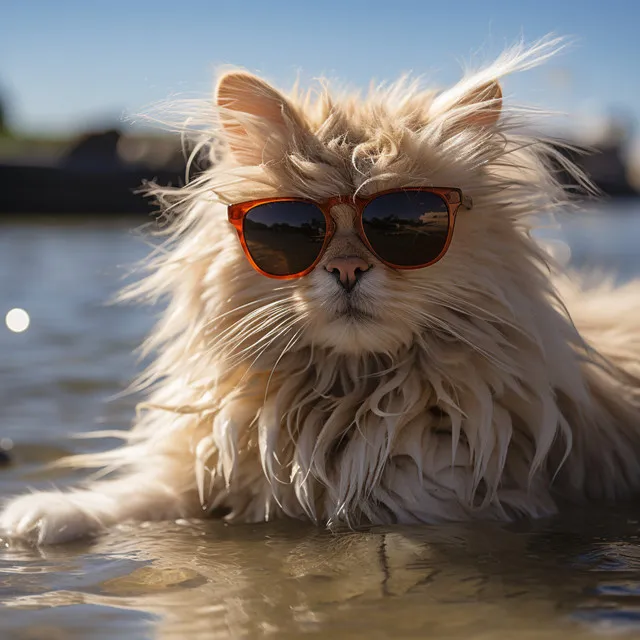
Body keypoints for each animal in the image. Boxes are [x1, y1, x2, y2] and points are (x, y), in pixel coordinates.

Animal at [1, 37, 640, 544]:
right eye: (290, 229)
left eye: (406, 225)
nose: (349, 270)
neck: (340, 393)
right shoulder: (214, 465)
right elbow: (143, 493)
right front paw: (45, 514)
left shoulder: (438, 496)